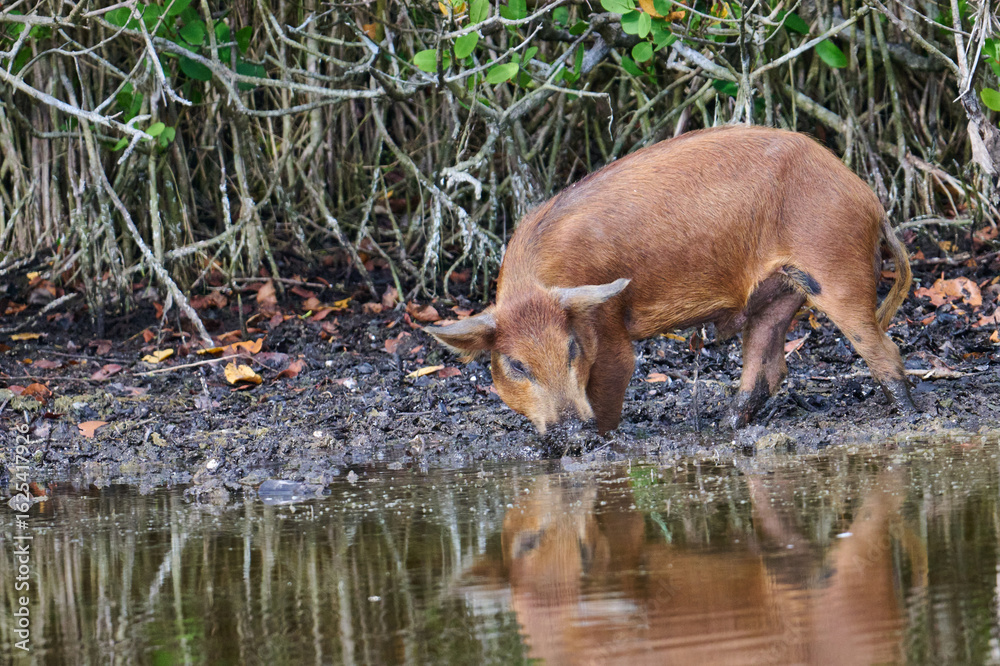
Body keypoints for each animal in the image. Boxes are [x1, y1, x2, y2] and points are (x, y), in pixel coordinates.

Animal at [425, 126, 916, 434]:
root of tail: (871, 201)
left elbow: (615, 380)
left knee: (883, 348)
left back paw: (908, 415)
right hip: (778, 292)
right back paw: (724, 428)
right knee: (767, 367)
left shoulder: (610, 325)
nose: (570, 430)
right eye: (515, 365)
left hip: (834, 267)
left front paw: (597, 441)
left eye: (572, 348)